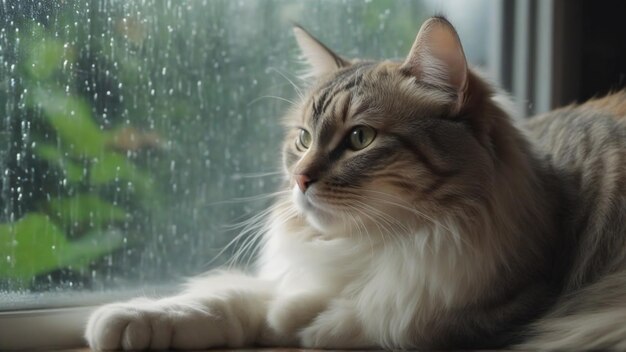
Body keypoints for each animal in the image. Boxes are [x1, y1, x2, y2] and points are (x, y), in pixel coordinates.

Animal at [85, 15, 624, 350]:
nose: (300, 179)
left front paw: (314, 325)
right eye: (303, 139)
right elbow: (223, 300)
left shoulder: (512, 305)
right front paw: (132, 319)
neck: (372, 246)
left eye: (360, 139)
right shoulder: (291, 277)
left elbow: (389, 316)